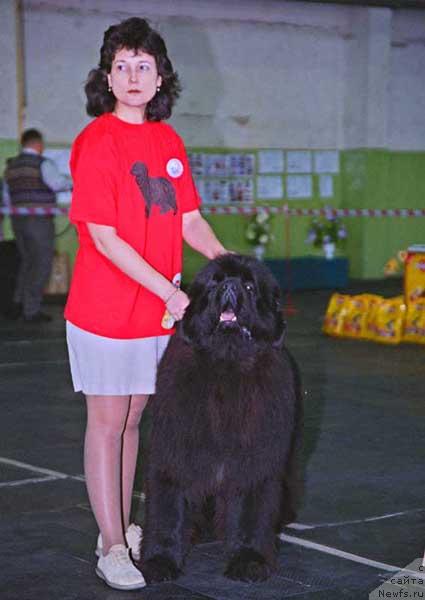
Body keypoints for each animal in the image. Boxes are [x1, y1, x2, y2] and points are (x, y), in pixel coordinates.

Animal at [141, 253, 300, 580]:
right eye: (214, 283)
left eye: (250, 286)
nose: (229, 287)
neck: (226, 368)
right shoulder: (174, 452)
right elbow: (167, 509)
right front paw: (160, 561)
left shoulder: (255, 459)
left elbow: (252, 511)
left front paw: (249, 559)